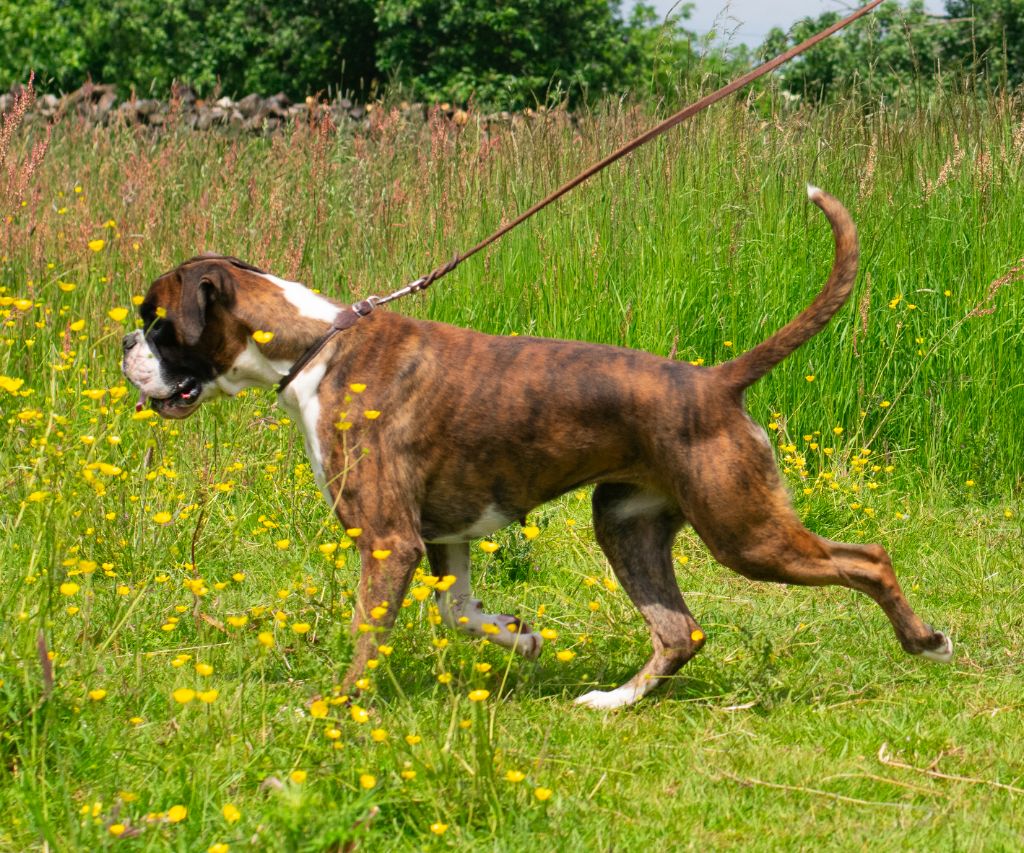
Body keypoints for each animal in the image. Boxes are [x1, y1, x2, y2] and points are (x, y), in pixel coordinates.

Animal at [125, 189, 950, 708]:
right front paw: (519, 637)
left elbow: (368, 635)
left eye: (159, 323)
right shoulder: (441, 537)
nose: (125, 346)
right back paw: (614, 700)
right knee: (679, 631)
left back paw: (927, 642)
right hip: (626, 526)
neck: (317, 346)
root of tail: (716, 382)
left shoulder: (388, 540)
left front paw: (334, 708)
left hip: (744, 533)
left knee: (867, 557)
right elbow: (459, 610)